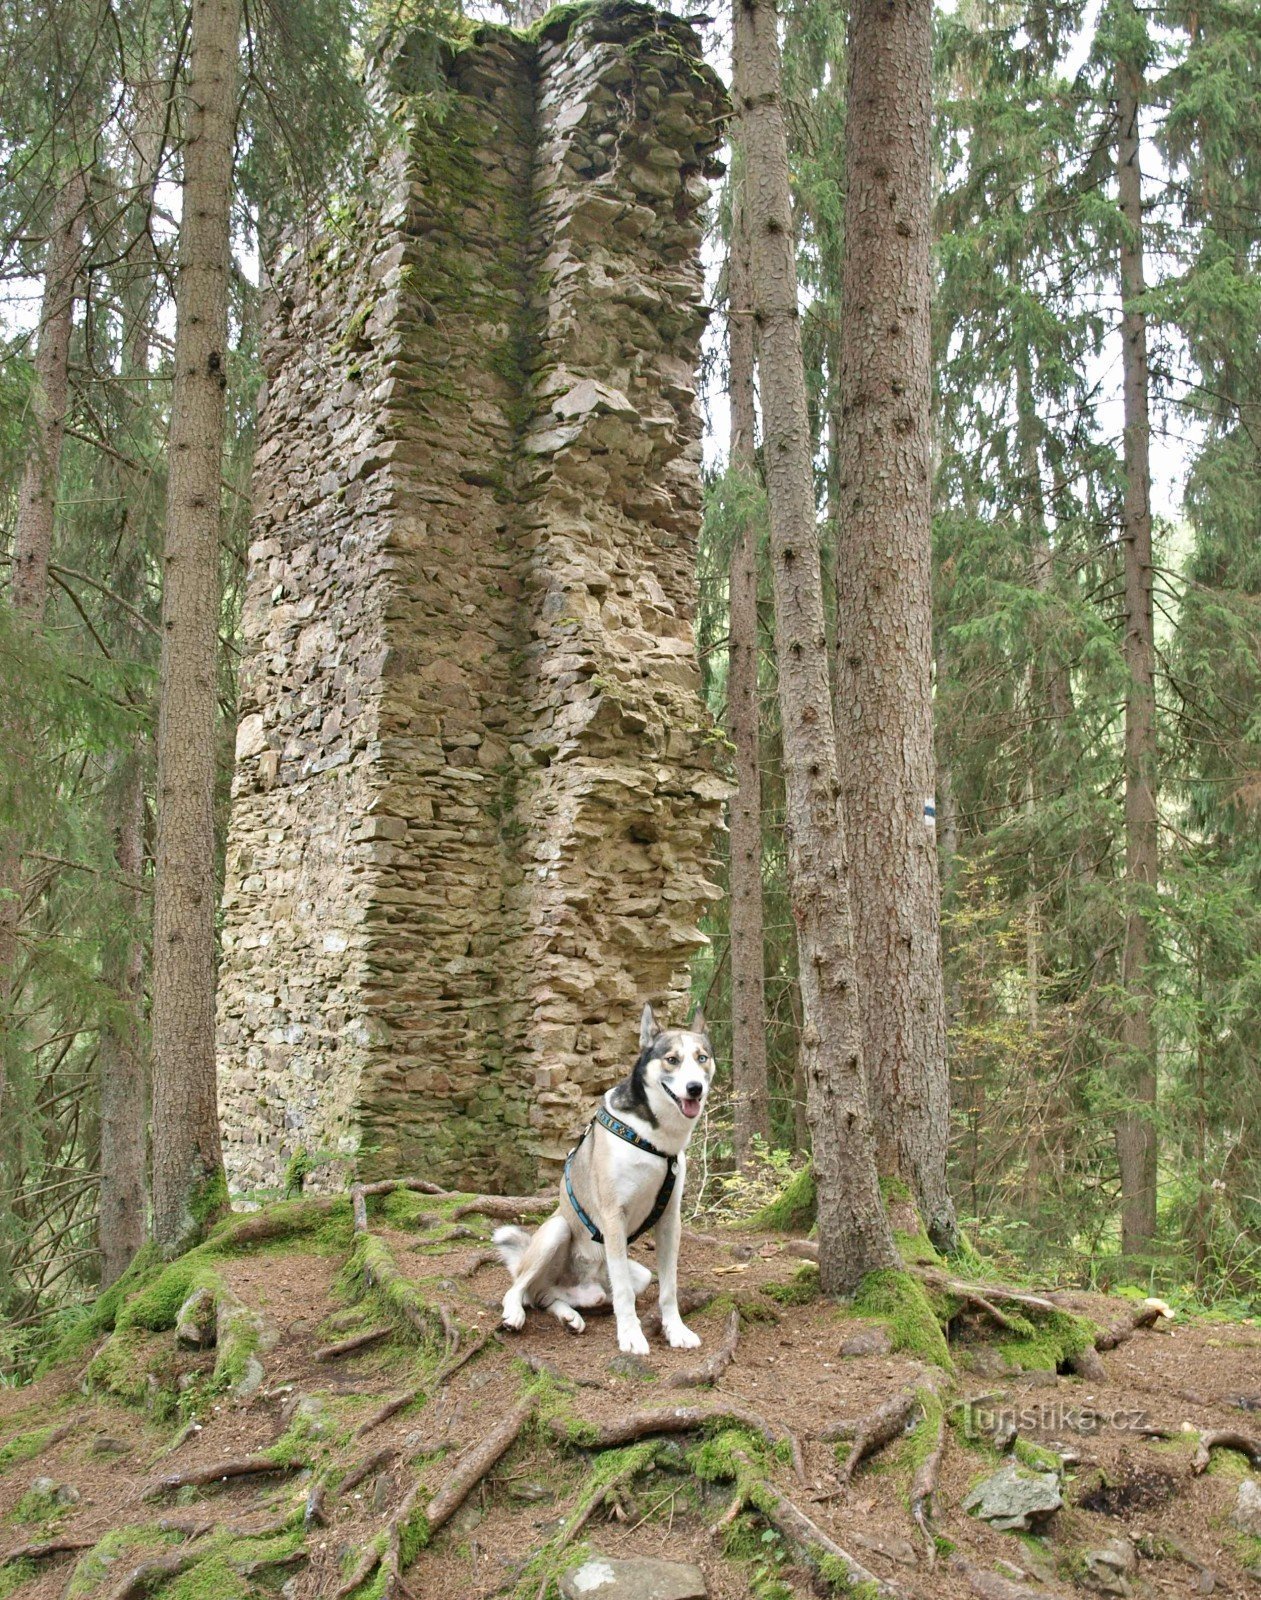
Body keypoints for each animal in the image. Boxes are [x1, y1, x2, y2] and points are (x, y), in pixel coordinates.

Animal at [492, 1004, 710, 1356]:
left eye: (702, 1058)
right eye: (671, 1059)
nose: (695, 1088)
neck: (653, 1137)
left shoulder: (669, 1220)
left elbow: (669, 1287)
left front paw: (675, 1330)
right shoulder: (612, 1215)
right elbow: (623, 1292)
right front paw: (631, 1335)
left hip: (639, 1274)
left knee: (547, 1296)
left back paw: (573, 1314)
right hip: (557, 1229)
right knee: (521, 1289)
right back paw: (515, 1313)